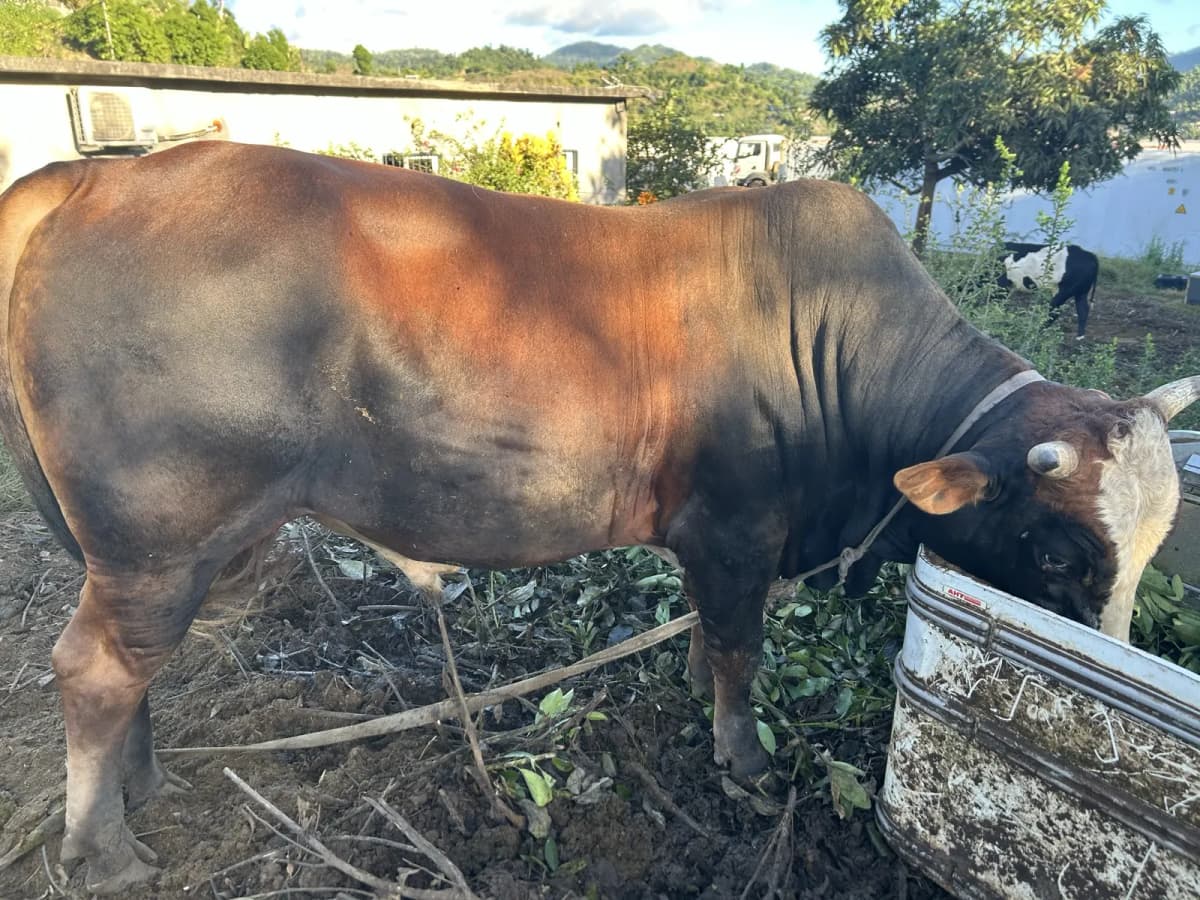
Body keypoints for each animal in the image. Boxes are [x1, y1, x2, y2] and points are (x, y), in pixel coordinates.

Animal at [0, 142, 1195, 893]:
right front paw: (744, 762)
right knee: (95, 670)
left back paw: (141, 791)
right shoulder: (735, 529)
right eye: (1057, 548)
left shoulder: (720, 543)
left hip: (181, 550)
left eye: (1149, 545)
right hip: (160, 542)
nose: (1114, 649)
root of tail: (99, 177)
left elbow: (711, 640)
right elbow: (742, 648)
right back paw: (104, 851)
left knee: (130, 672)